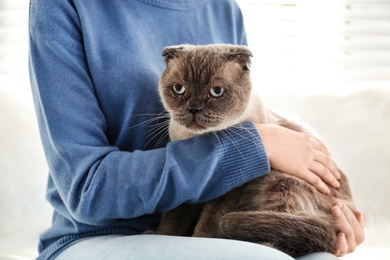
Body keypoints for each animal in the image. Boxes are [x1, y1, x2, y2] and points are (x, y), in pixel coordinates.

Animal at [149, 43, 356, 256]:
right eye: (178, 89)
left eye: (216, 91)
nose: (193, 108)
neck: (196, 140)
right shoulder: (180, 191)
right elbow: (173, 220)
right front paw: (161, 235)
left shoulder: (229, 192)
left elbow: (210, 220)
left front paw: (201, 239)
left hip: (282, 181)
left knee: (305, 234)